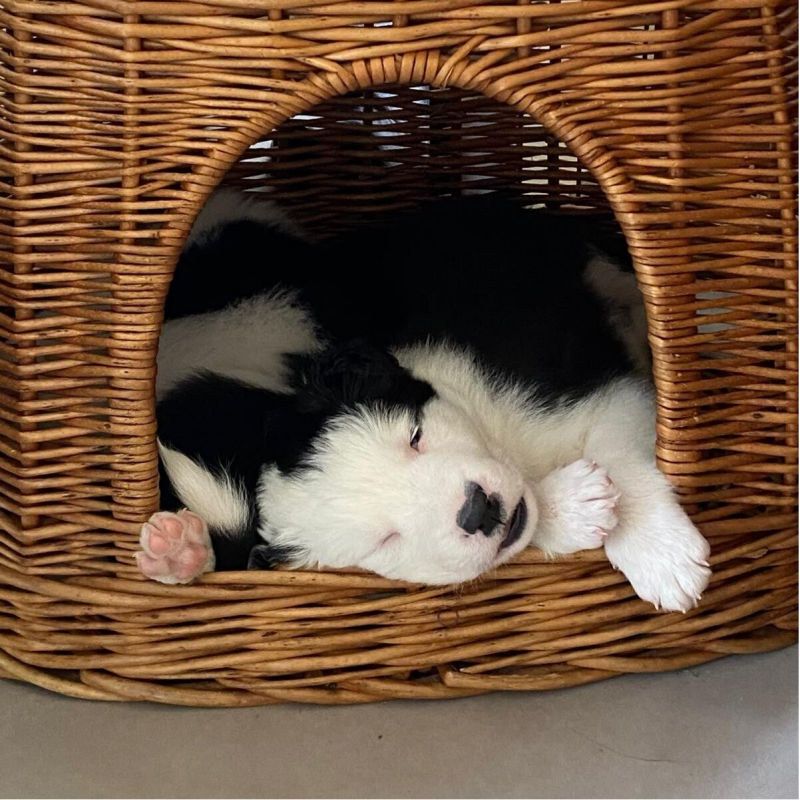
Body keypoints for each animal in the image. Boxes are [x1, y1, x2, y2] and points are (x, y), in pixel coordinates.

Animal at [137, 192, 710, 612]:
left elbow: (619, 448)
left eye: (414, 436)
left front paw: (660, 553)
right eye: (384, 541)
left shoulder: (587, 385)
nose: (477, 511)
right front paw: (575, 508)